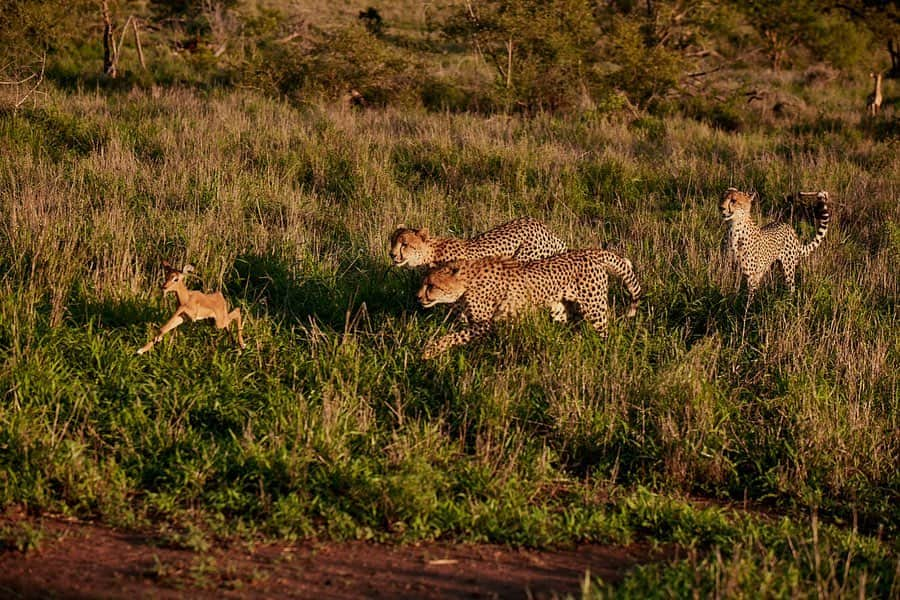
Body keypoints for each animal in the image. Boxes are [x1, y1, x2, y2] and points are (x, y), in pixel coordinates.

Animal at [414, 250, 640, 358]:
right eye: (424, 283)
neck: (466, 282)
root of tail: (590, 251)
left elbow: (452, 336)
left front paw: (430, 350)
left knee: (605, 334)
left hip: (595, 310)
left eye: (431, 285)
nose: (418, 297)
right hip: (560, 308)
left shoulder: (484, 324)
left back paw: (603, 354)